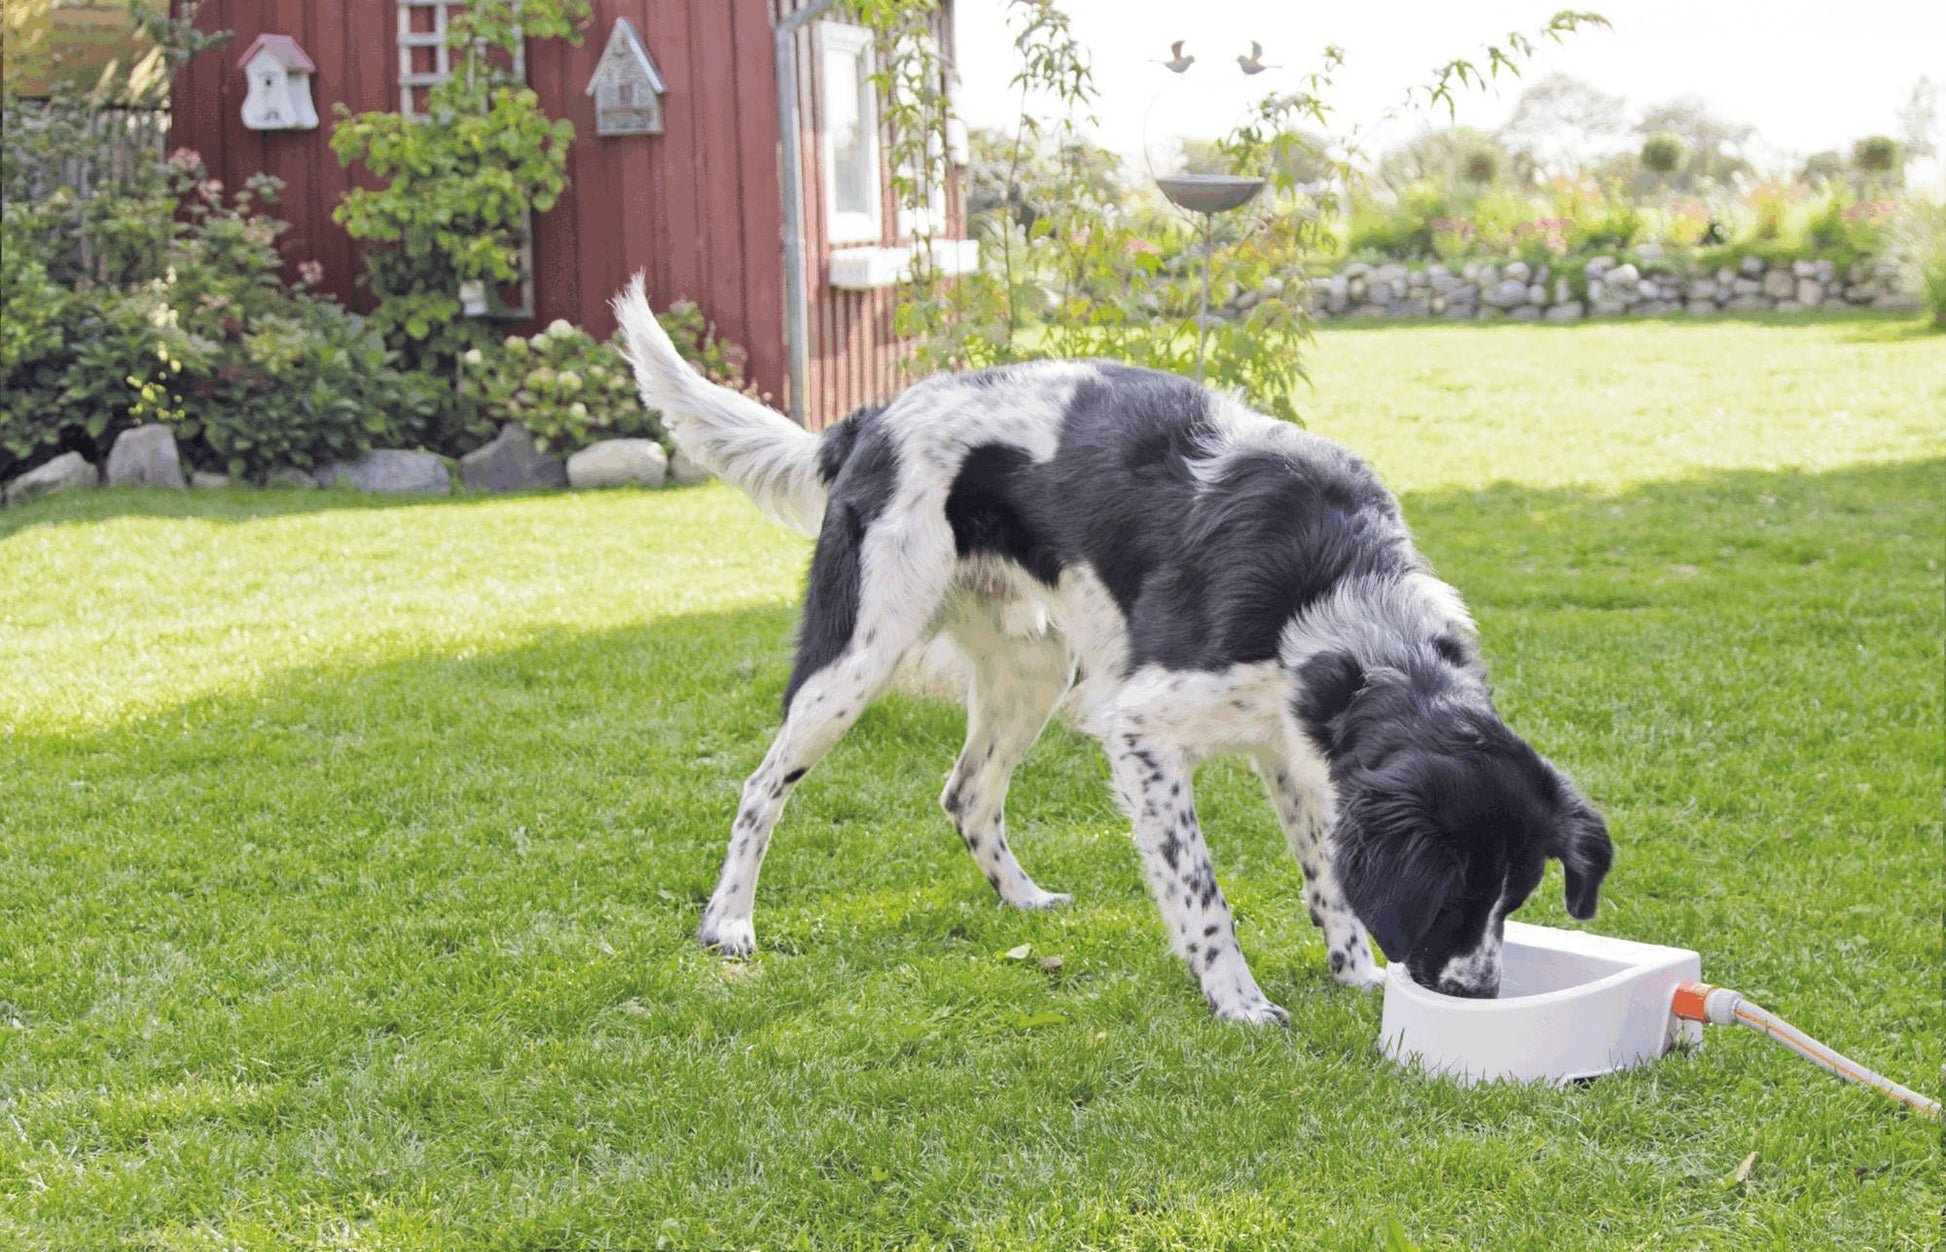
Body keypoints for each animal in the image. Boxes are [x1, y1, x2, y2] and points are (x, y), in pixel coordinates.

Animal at [614, 278, 1603, 1020]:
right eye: (1453, 893)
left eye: (1516, 899)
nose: (1477, 994)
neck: (1345, 602)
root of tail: (874, 416)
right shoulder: (1143, 728)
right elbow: (1202, 893)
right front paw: (1239, 1002)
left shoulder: (1296, 751)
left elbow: (1328, 876)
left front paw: (1354, 974)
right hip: (858, 655)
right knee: (760, 787)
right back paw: (729, 924)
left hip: (1033, 668)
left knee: (966, 794)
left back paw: (1023, 902)